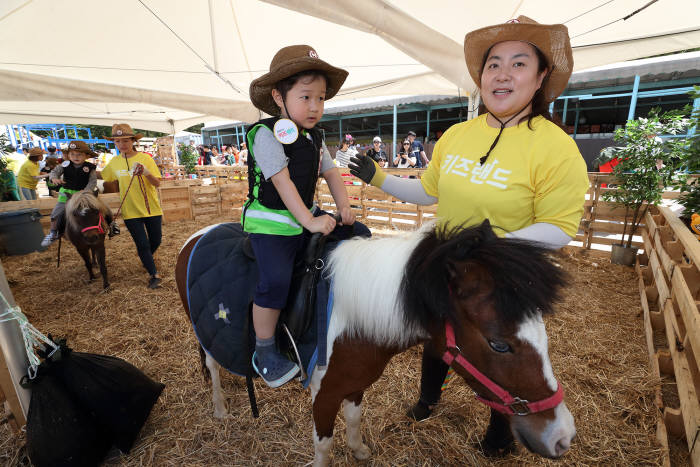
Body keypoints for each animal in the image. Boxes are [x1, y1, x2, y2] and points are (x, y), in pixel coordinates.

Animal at [174, 222, 576, 464]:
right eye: (499, 345)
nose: (563, 436)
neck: (352, 317)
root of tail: (198, 235)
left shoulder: (353, 383)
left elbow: (354, 419)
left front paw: (359, 451)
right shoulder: (323, 392)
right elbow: (323, 443)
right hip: (203, 333)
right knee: (211, 365)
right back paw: (220, 408)